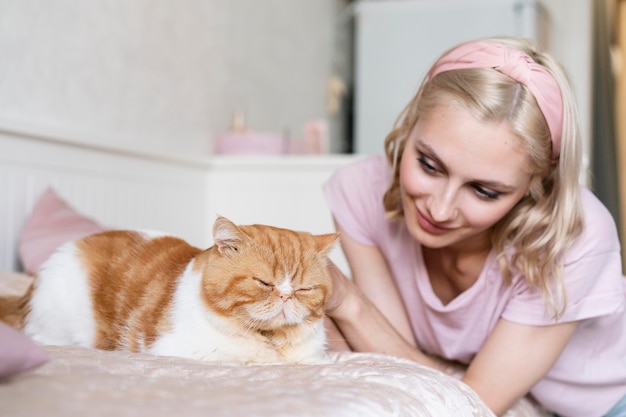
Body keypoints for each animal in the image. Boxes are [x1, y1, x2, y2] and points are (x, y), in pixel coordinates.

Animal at [20, 218, 336, 364]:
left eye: (303, 289)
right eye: (264, 283)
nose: (285, 295)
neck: (271, 340)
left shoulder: (312, 359)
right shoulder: (188, 352)